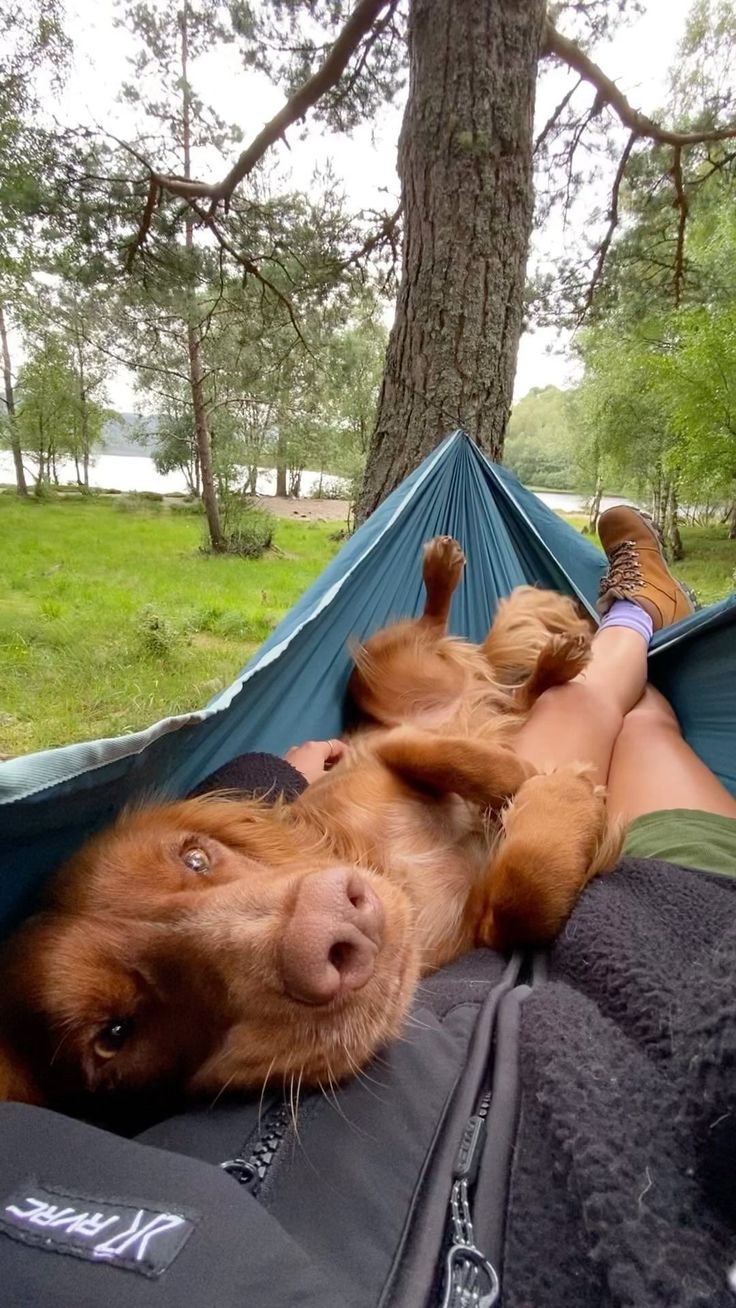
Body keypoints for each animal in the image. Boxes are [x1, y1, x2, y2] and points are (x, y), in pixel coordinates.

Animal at [0, 538, 622, 1114]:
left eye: (196, 857)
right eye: (114, 1035)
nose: (335, 930)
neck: (381, 861)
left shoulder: (390, 750)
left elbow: (450, 757)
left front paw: (531, 780)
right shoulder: (479, 926)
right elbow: (526, 898)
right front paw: (559, 793)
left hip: (382, 677)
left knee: (457, 654)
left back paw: (469, 593)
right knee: (509, 695)